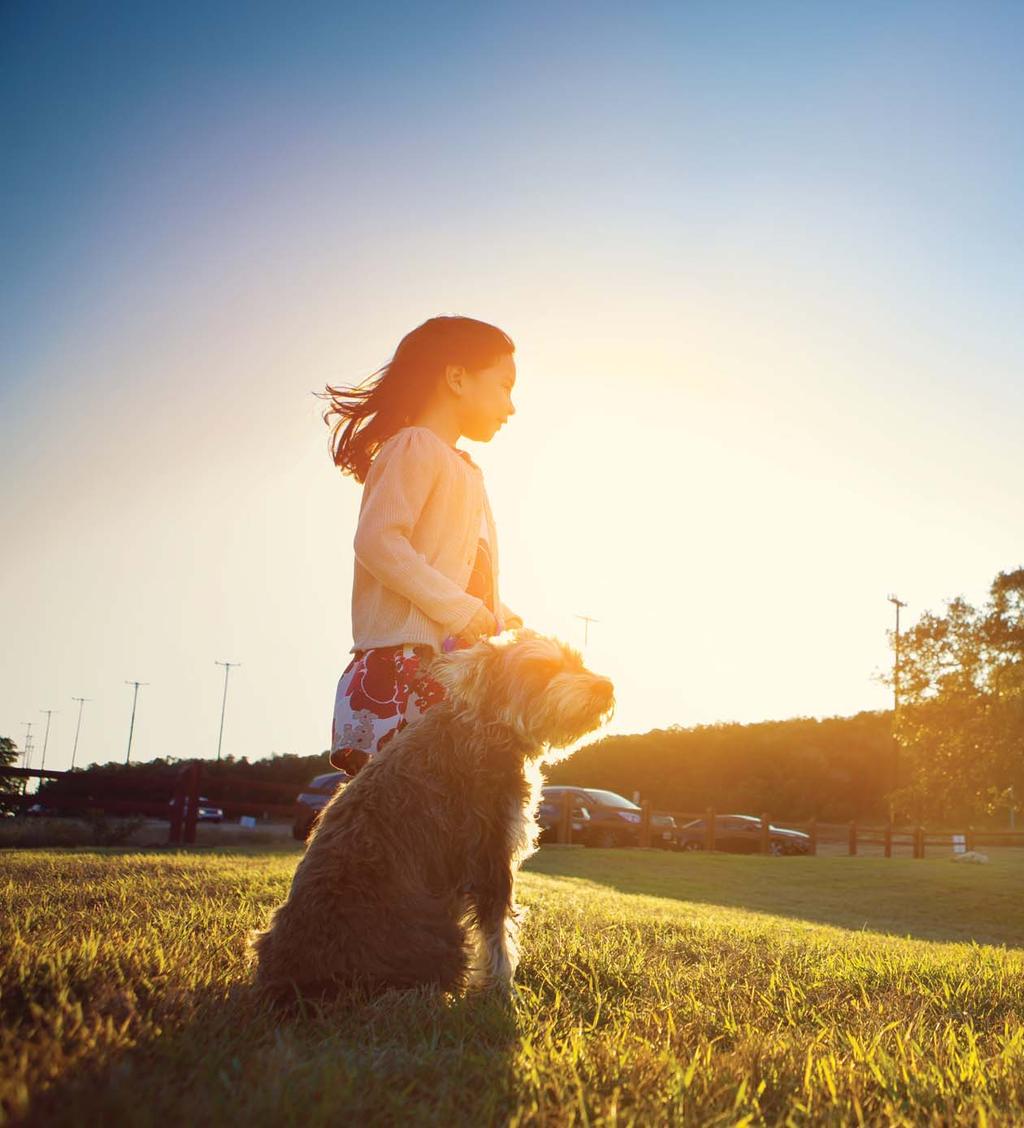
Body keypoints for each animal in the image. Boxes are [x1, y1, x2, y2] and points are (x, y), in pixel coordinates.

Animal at [251, 631, 613, 1001]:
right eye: (541, 668)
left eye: (578, 661)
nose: (606, 687)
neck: (486, 726)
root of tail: (286, 979)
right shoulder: (490, 853)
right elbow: (497, 931)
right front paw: (503, 990)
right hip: (441, 936)